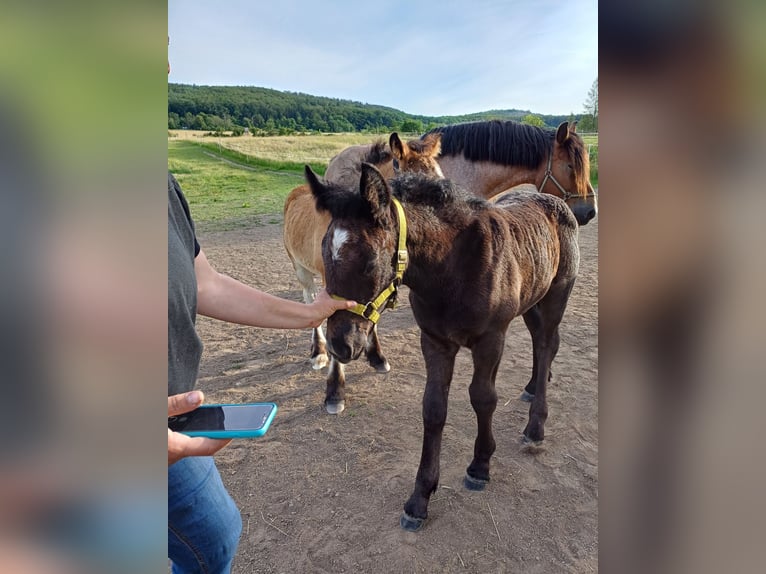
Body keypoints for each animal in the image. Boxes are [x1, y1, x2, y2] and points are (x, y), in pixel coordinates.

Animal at [284, 135, 444, 414]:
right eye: (413, 183)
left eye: (439, 174)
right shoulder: (334, 286)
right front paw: (335, 391)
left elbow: (370, 317)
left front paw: (376, 357)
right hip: (301, 269)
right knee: (309, 299)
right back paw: (318, 351)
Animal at [306, 162, 584, 532]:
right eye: (324, 253)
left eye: (369, 262)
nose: (340, 343)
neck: (453, 267)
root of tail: (555, 201)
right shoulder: (435, 341)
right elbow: (434, 409)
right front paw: (419, 499)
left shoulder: (491, 338)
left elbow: (483, 398)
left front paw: (480, 466)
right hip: (531, 300)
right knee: (541, 344)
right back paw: (528, 389)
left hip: (556, 295)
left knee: (547, 343)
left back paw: (535, 427)